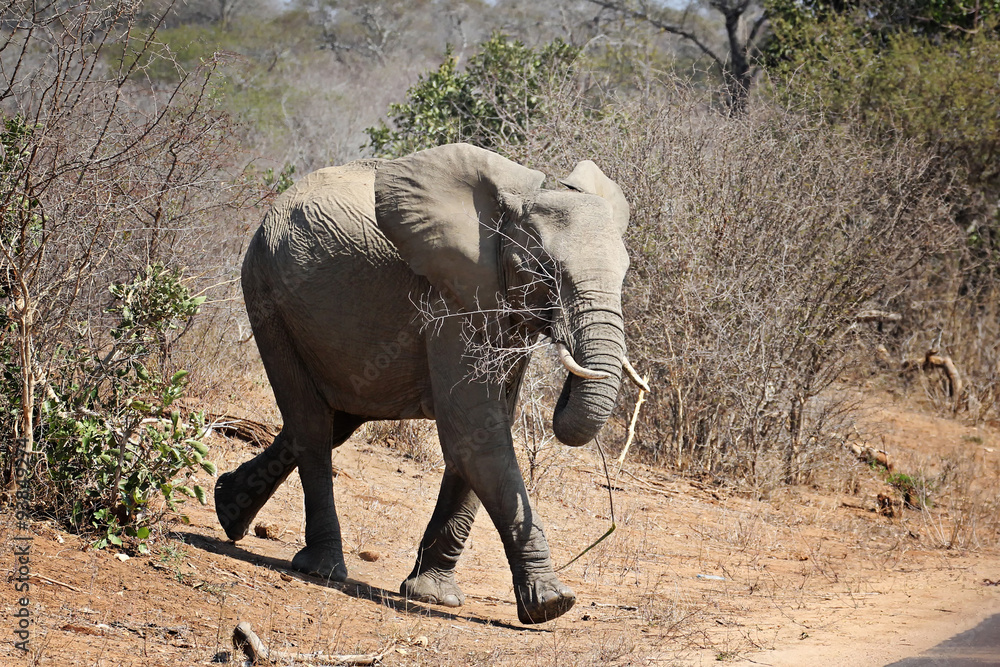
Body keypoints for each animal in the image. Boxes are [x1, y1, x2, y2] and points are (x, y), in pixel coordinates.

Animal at [214, 143, 647, 624]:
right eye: (546, 270)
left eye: (625, 273)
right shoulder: (451, 301)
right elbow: (474, 431)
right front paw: (553, 604)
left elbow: (485, 429)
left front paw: (432, 596)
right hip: (267, 291)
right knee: (311, 425)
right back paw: (323, 569)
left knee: (335, 420)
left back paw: (226, 508)